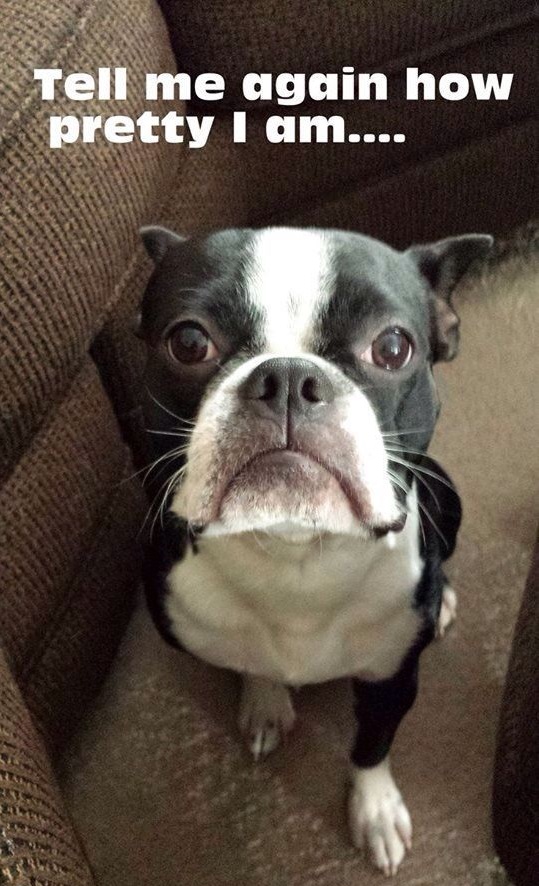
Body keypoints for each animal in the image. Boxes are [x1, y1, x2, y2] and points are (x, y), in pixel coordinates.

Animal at [138, 225, 494, 876]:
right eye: (189, 341)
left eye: (393, 348)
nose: (285, 378)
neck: (293, 555)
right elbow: (248, 661)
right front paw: (264, 698)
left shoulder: (392, 680)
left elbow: (371, 747)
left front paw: (374, 812)